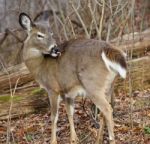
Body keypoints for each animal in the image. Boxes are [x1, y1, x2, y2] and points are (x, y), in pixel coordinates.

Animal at [18, 12, 126, 144]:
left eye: (51, 33)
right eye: (39, 35)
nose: (55, 49)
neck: (40, 66)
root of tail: (108, 49)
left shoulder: (52, 88)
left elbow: (54, 116)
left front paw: (53, 141)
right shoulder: (67, 91)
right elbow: (70, 113)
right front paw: (74, 138)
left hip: (93, 86)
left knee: (107, 109)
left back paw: (110, 139)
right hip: (109, 86)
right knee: (104, 111)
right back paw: (98, 139)